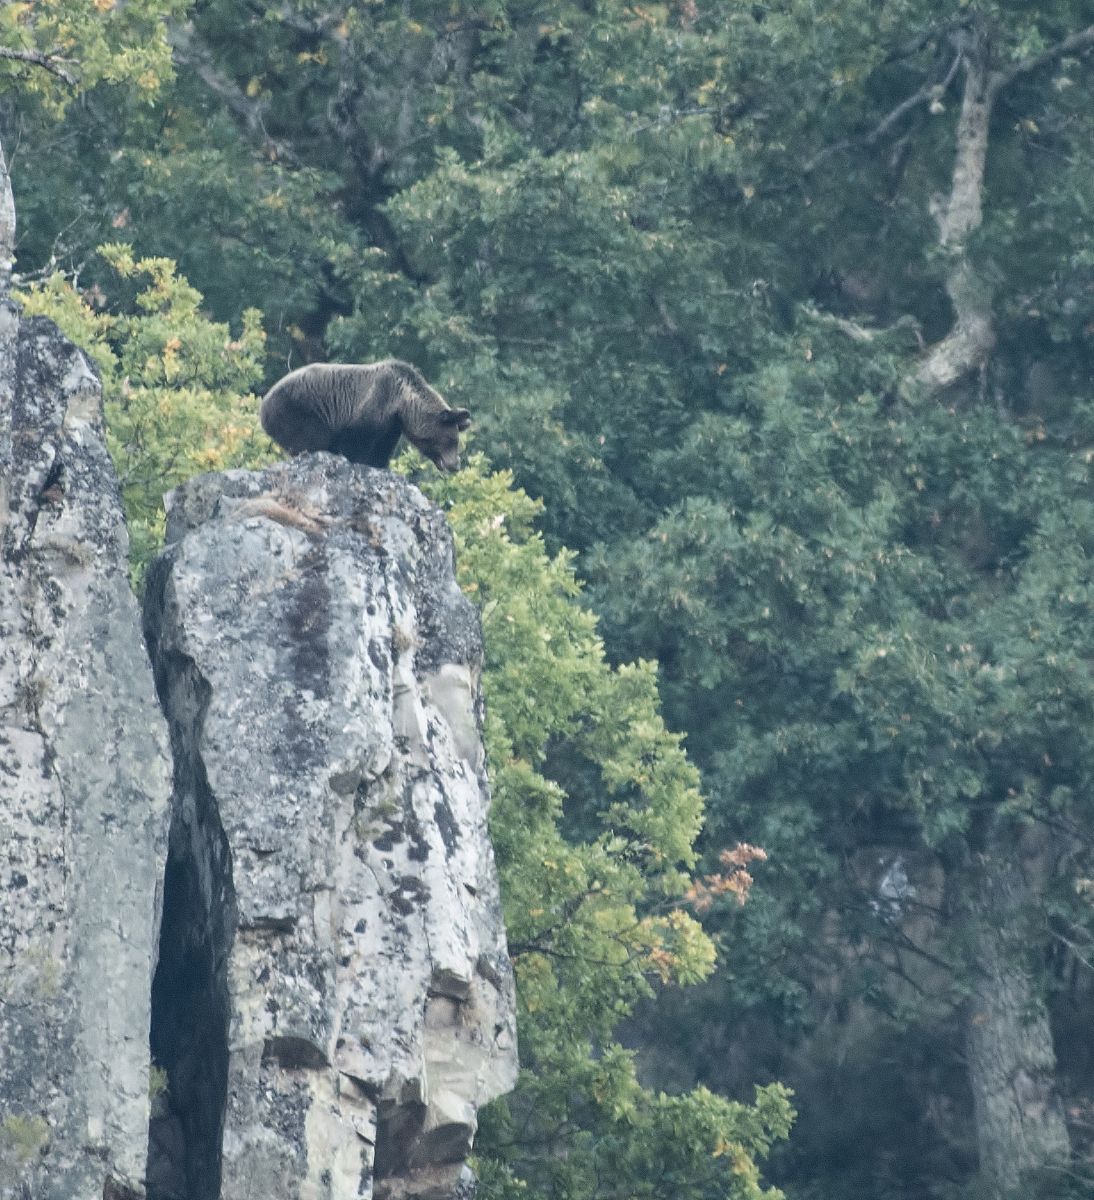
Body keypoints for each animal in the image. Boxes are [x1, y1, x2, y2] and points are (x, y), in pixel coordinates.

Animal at [265, 357, 475, 470]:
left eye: (456, 441)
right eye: (451, 440)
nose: (455, 465)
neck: (401, 404)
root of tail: (264, 402)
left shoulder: (391, 427)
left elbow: (381, 450)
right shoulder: (369, 409)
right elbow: (355, 445)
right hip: (297, 412)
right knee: (312, 439)